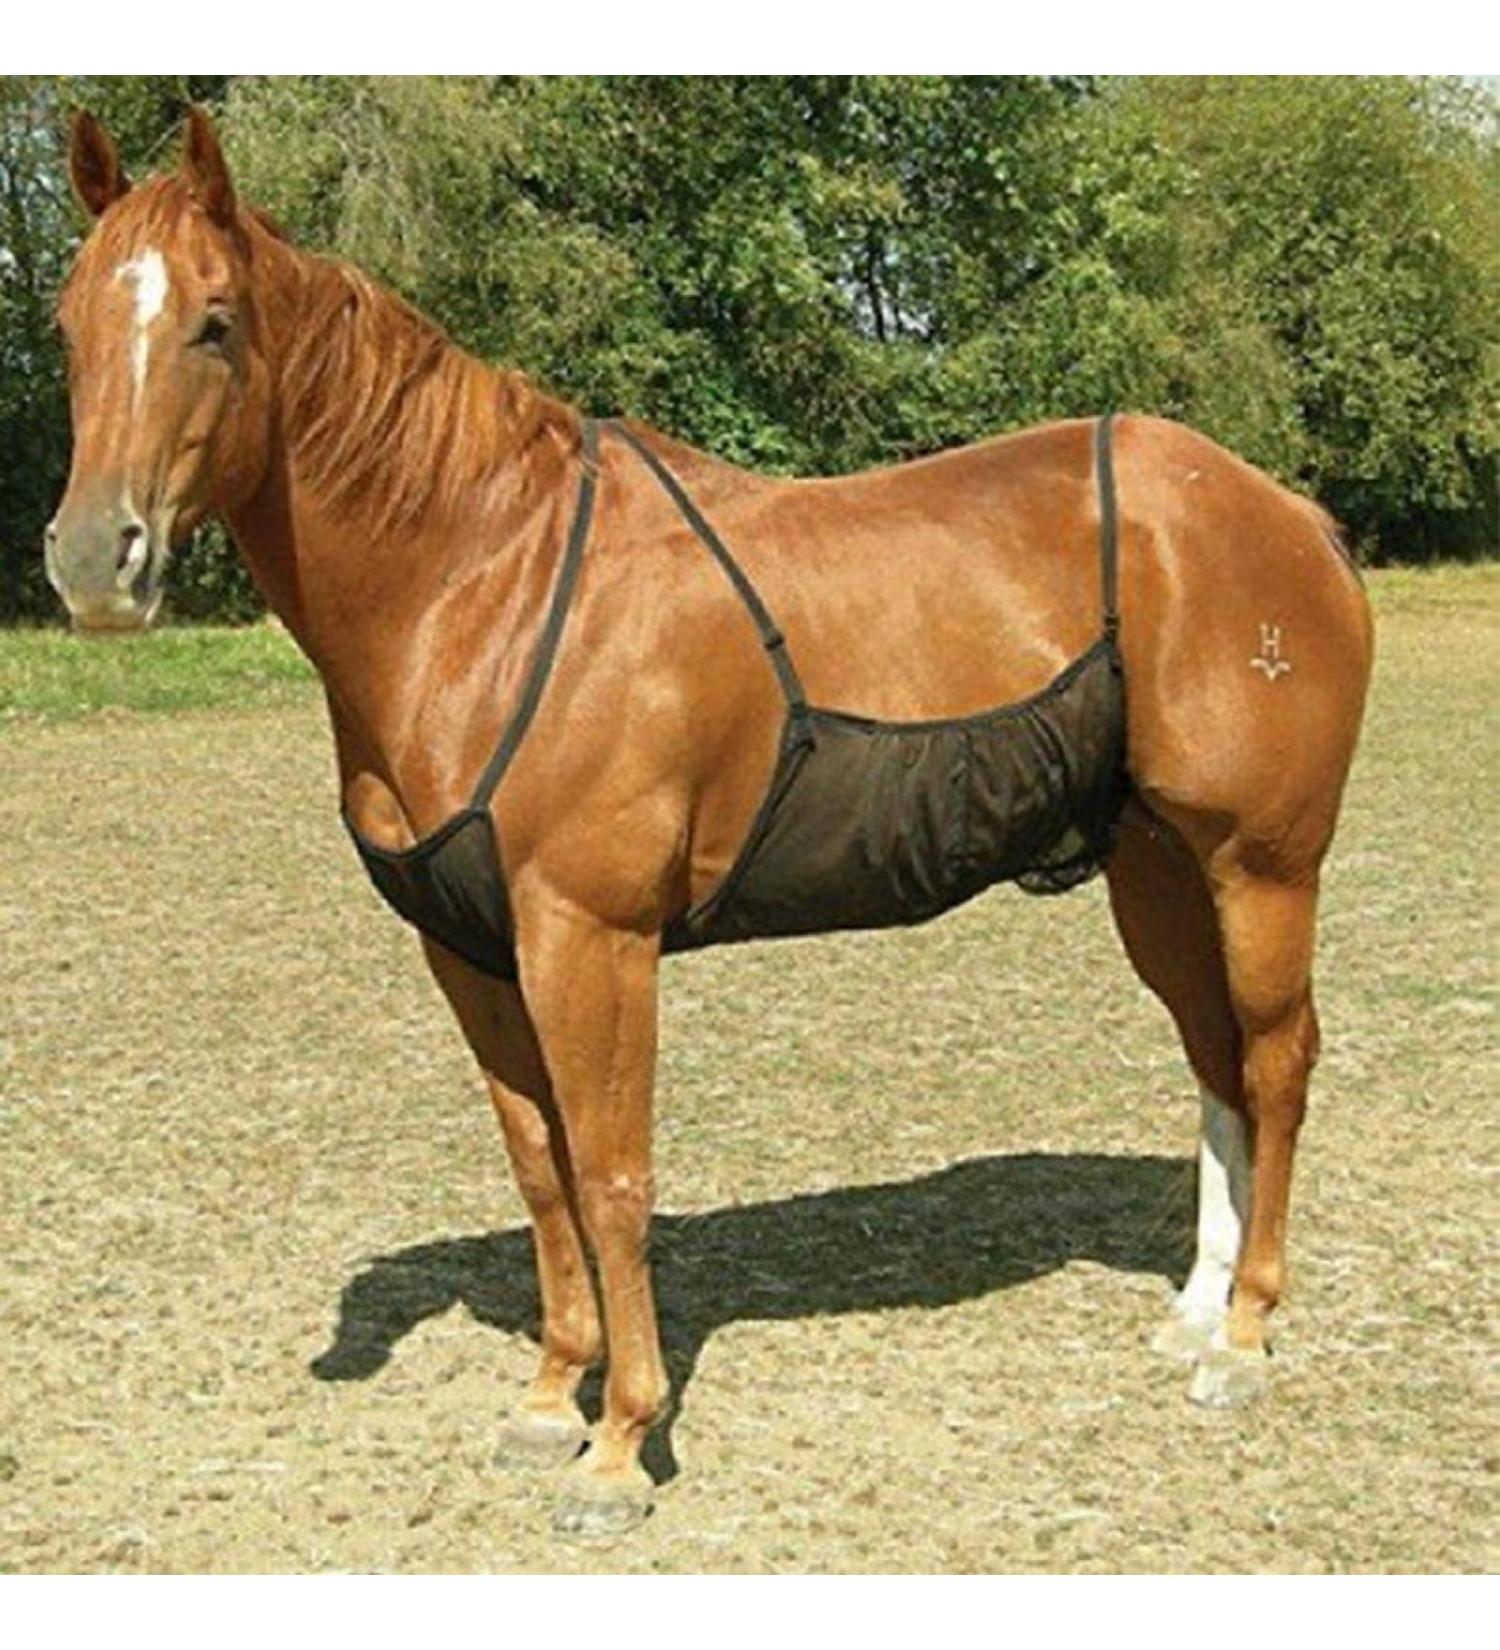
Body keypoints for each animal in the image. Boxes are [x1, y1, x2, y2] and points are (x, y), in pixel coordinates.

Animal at [48, 108, 1372, 1538]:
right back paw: (1197, 1312)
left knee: (1278, 1063)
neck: (486, 582)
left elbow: (613, 1174)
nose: (94, 561)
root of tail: (1289, 514)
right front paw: (546, 1401)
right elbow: (540, 1166)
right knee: (1216, 1063)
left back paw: (1247, 1337)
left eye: (215, 322)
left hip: (1261, 866)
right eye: (67, 324)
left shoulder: (591, 938)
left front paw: (622, 1442)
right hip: (1160, 873)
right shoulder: (471, 951)